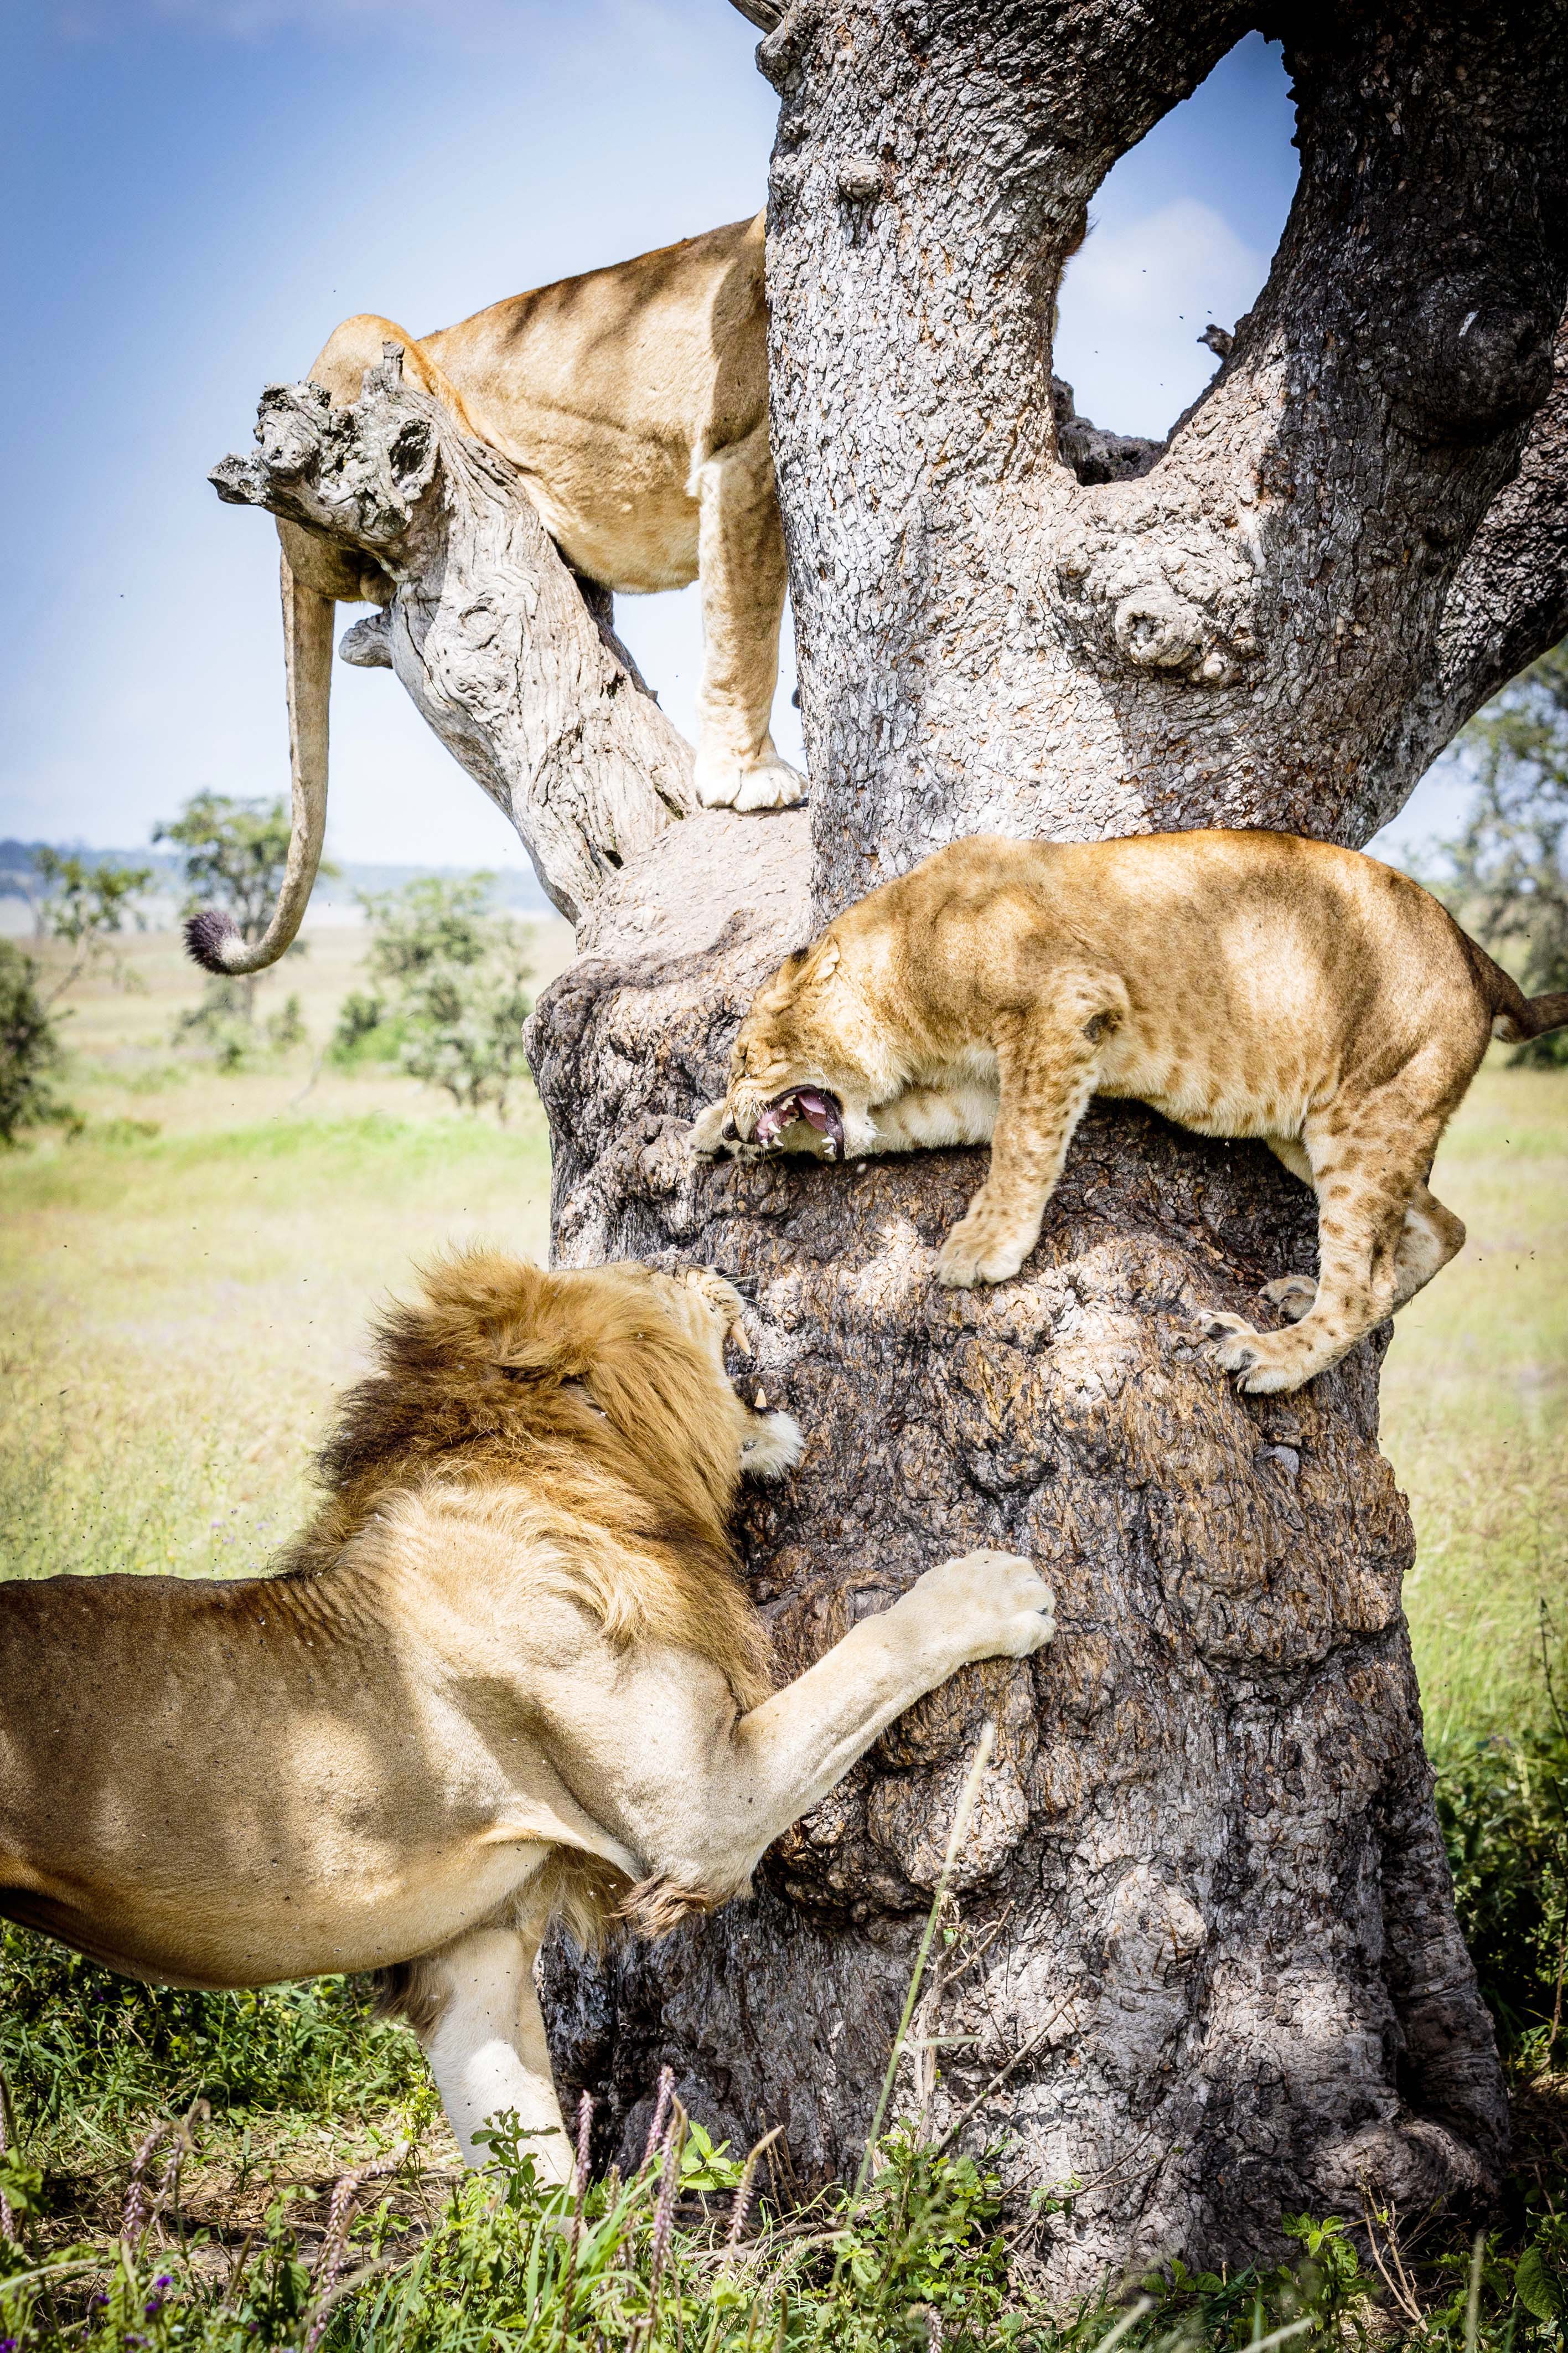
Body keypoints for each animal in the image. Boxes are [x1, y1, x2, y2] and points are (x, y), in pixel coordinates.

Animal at [3, 1261, 1053, 2174]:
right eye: (655, 1276)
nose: (706, 1263)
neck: (566, 1469)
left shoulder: (472, 1958)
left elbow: (533, 2181)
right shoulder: (700, 1816)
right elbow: (868, 1653)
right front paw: (997, 1590)